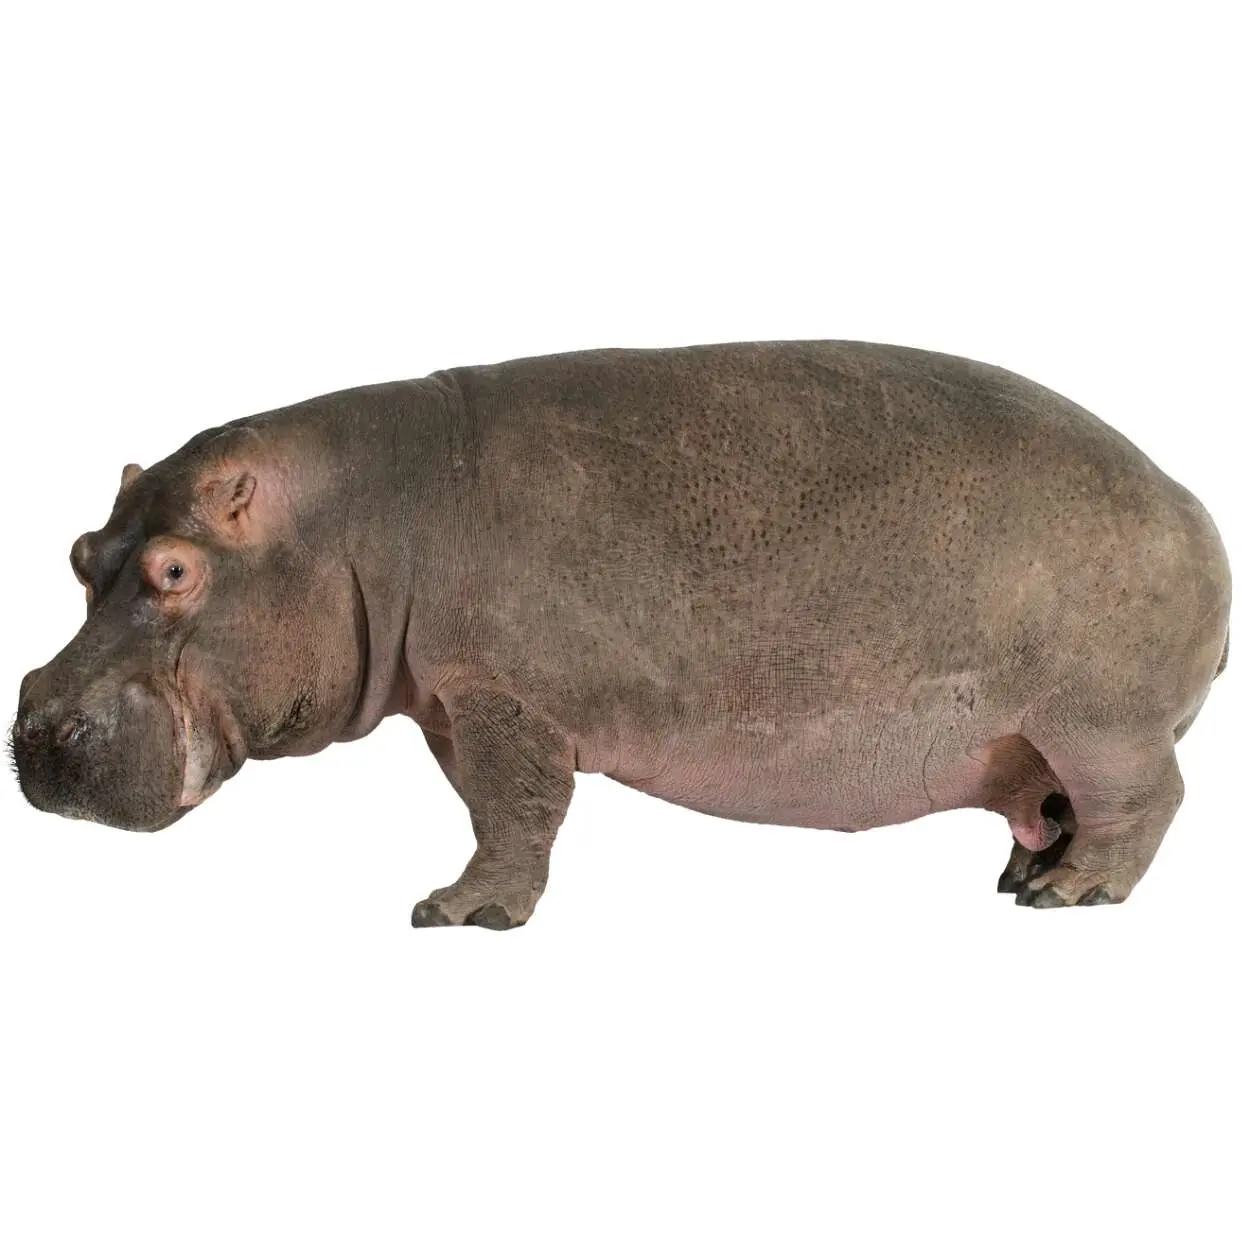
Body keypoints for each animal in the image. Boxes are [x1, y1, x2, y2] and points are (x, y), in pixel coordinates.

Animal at [12, 341, 1231, 926]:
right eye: (78, 552)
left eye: (175, 570)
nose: (36, 729)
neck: (352, 514)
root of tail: (1194, 508)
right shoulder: (452, 699)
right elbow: (496, 804)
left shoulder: (505, 696)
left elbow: (516, 807)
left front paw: (455, 915)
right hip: (1043, 738)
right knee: (1053, 806)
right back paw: (1023, 877)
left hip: (1101, 721)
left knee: (1145, 801)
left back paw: (1072, 897)